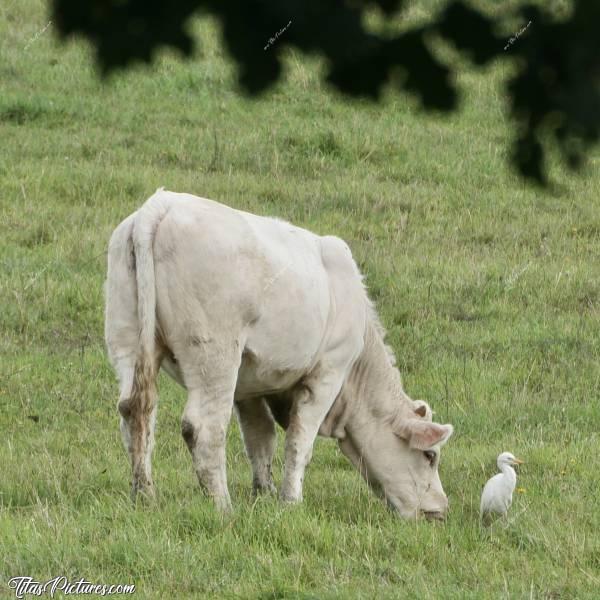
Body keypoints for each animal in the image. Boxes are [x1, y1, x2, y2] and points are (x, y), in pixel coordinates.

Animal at [105, 190, 452, 516]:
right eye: (429, 455)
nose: (440, 509)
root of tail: (160, 206)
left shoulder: (250, 386)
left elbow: (261, 438)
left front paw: (264, 493)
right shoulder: (328, 372)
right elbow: (300, 443)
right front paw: (290, 502)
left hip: (126, 339)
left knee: (134, 412)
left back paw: (144, 496)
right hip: (214, 355)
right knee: (205, 428)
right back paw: (222, 506)